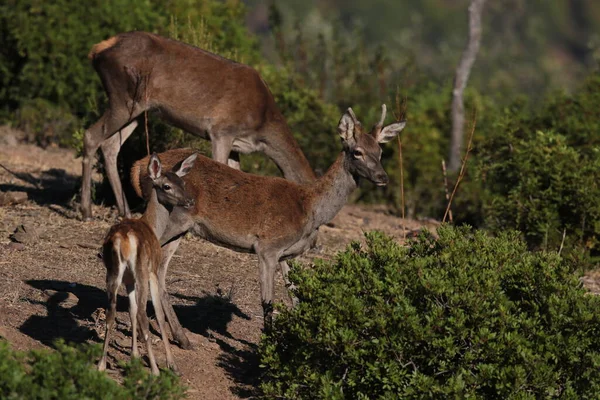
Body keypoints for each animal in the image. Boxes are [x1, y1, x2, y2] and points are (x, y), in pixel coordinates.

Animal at [81, 30, 316, 222]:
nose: (313, 244)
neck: (262, 125)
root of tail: (96, 50)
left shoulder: (237, 145)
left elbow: (237, 175)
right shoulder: (221, 130)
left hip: (138, 110)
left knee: (110, 145)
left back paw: (125, 212)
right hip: (124, 98)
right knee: (91, 135)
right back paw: (86, 212)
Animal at [96, 152, 197, 376]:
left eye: (183, 182)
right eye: (166, 186)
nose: (190, 200)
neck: (153, 226)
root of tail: (123, 239)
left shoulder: (128, 280)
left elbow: (131, 310)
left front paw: (133, 356)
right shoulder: (153, 271)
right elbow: (158, 314)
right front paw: (172, 364)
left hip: (113, 272)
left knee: (111, 312)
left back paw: (101, 364)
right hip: (141, 270)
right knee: (144, 315)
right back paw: (156, 371)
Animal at [131, 104, 404, 346]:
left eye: (380, 151)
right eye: (357, 151)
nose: (383, 177)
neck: (310, 209)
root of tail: (139, 166)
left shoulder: (288, 254)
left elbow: (295, 298)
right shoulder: (267, 247)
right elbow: (268, 302)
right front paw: (267, 345)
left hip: (181, 228)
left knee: (161, 271)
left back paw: (182, 337)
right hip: (169, 218)